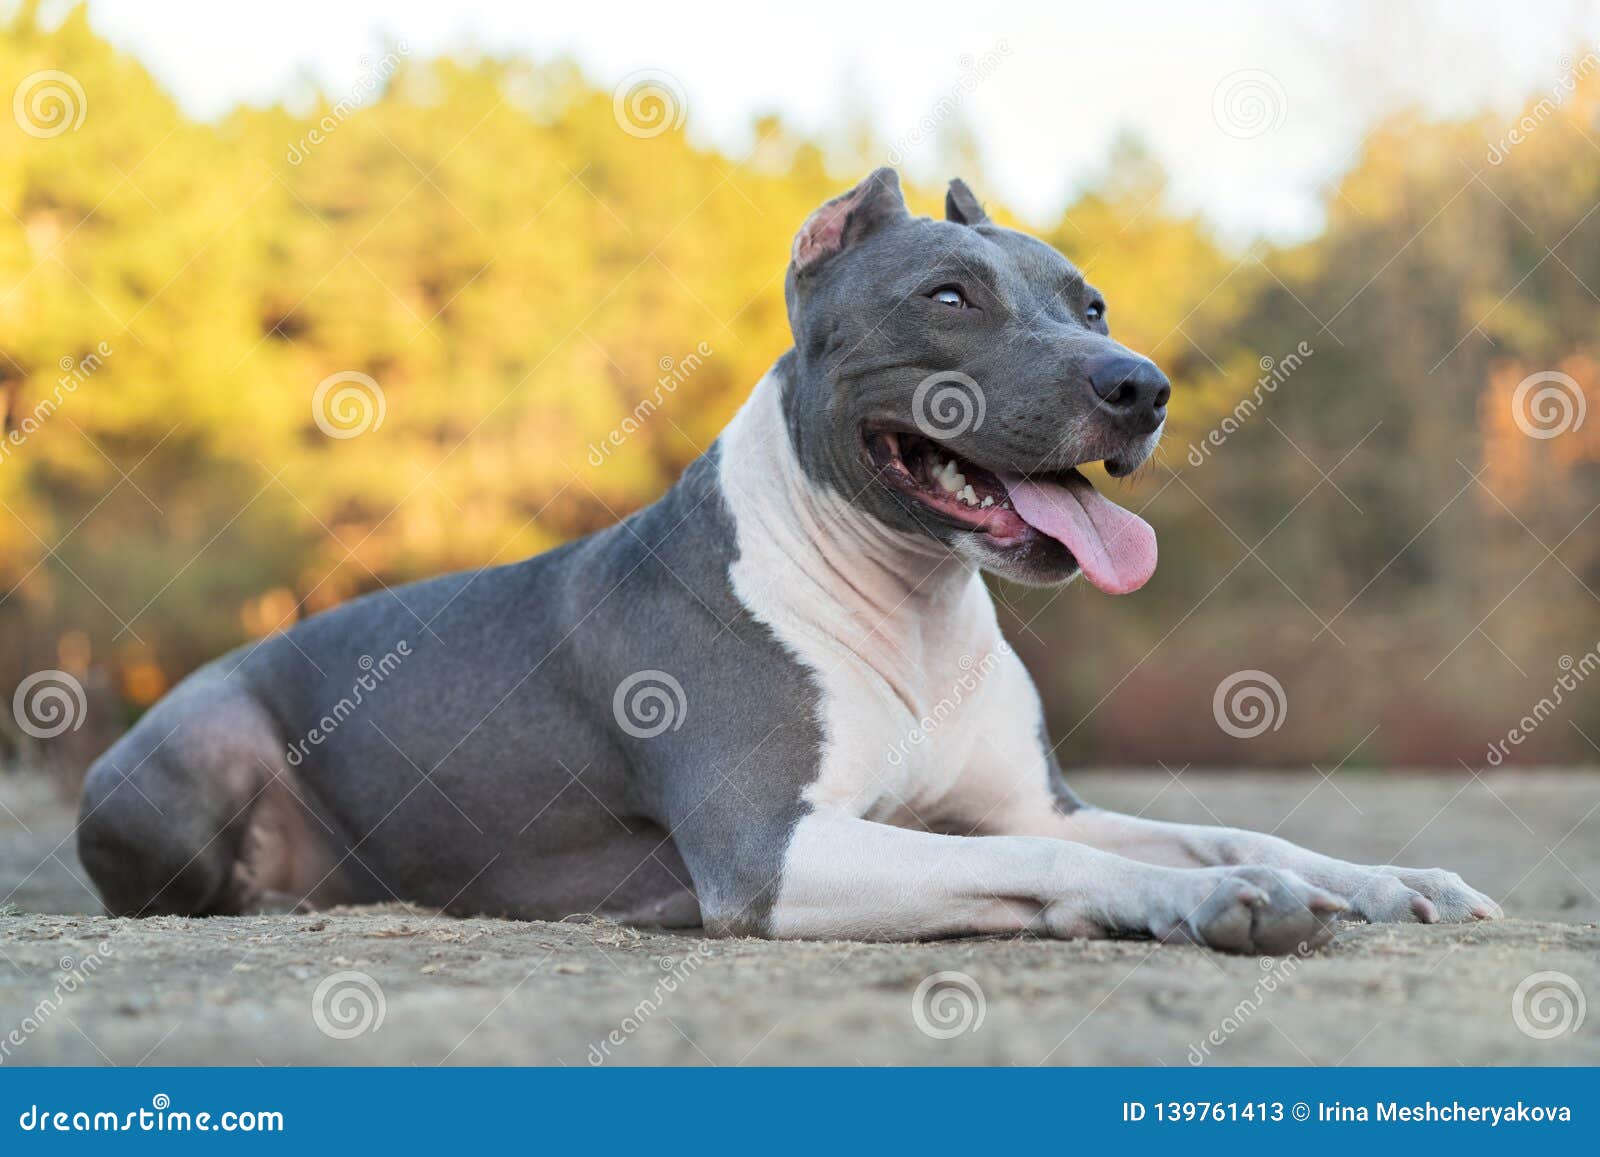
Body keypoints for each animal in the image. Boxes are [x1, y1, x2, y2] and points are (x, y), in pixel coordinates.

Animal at [78, 167, 1497, 953]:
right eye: (947, 297)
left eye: (1088, 301)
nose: (1137, 384)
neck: (910, 598)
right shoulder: (771, 849)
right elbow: (1081, 866)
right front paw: (1209, 904)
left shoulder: (1024, 807)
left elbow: (1213, 824)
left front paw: (1382, 875)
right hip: (192, 752)